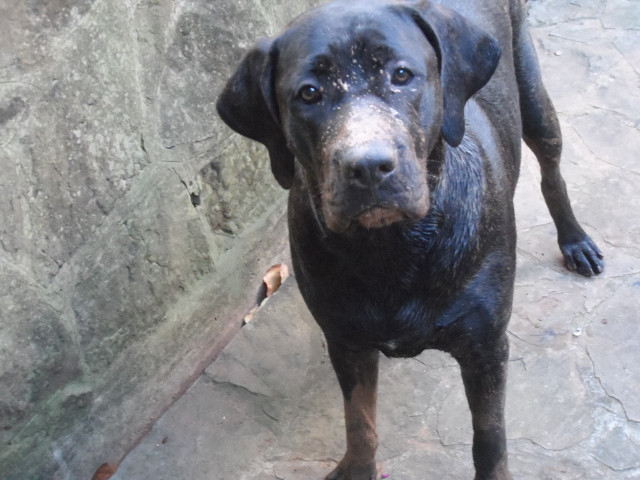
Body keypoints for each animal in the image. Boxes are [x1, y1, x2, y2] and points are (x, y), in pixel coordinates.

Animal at [216, 1, 604, 478]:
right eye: (308, 93)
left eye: (402, 75)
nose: (368, 166)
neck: (392, 247)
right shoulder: (346, 341)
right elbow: (359, 422)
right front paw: (357, 468)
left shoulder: (486, 347)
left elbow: (489, 437)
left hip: (534, 101)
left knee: (551, 170)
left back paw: (575, 240)